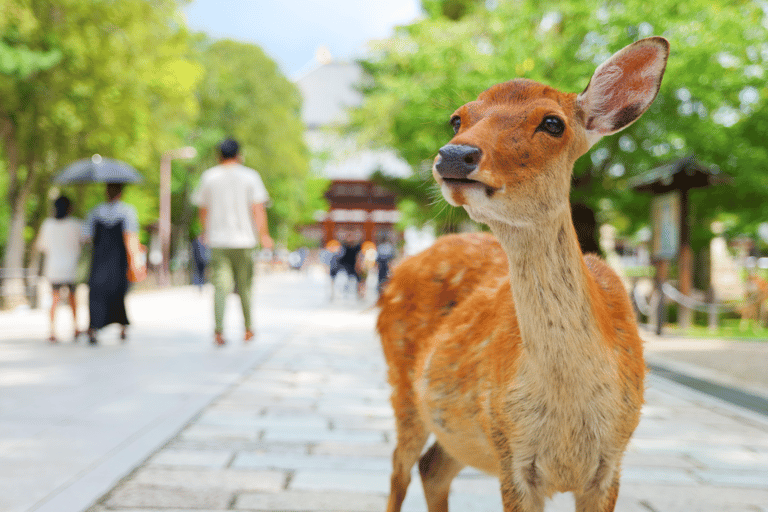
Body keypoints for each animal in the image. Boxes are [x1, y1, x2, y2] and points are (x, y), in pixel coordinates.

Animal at [378, 37, 672, 512]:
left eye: (553, 123)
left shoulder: (611, 462)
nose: (454, 155)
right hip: (403, 386)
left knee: (432, 467)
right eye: (457, 118)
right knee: (400, 470)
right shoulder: (511, 452)